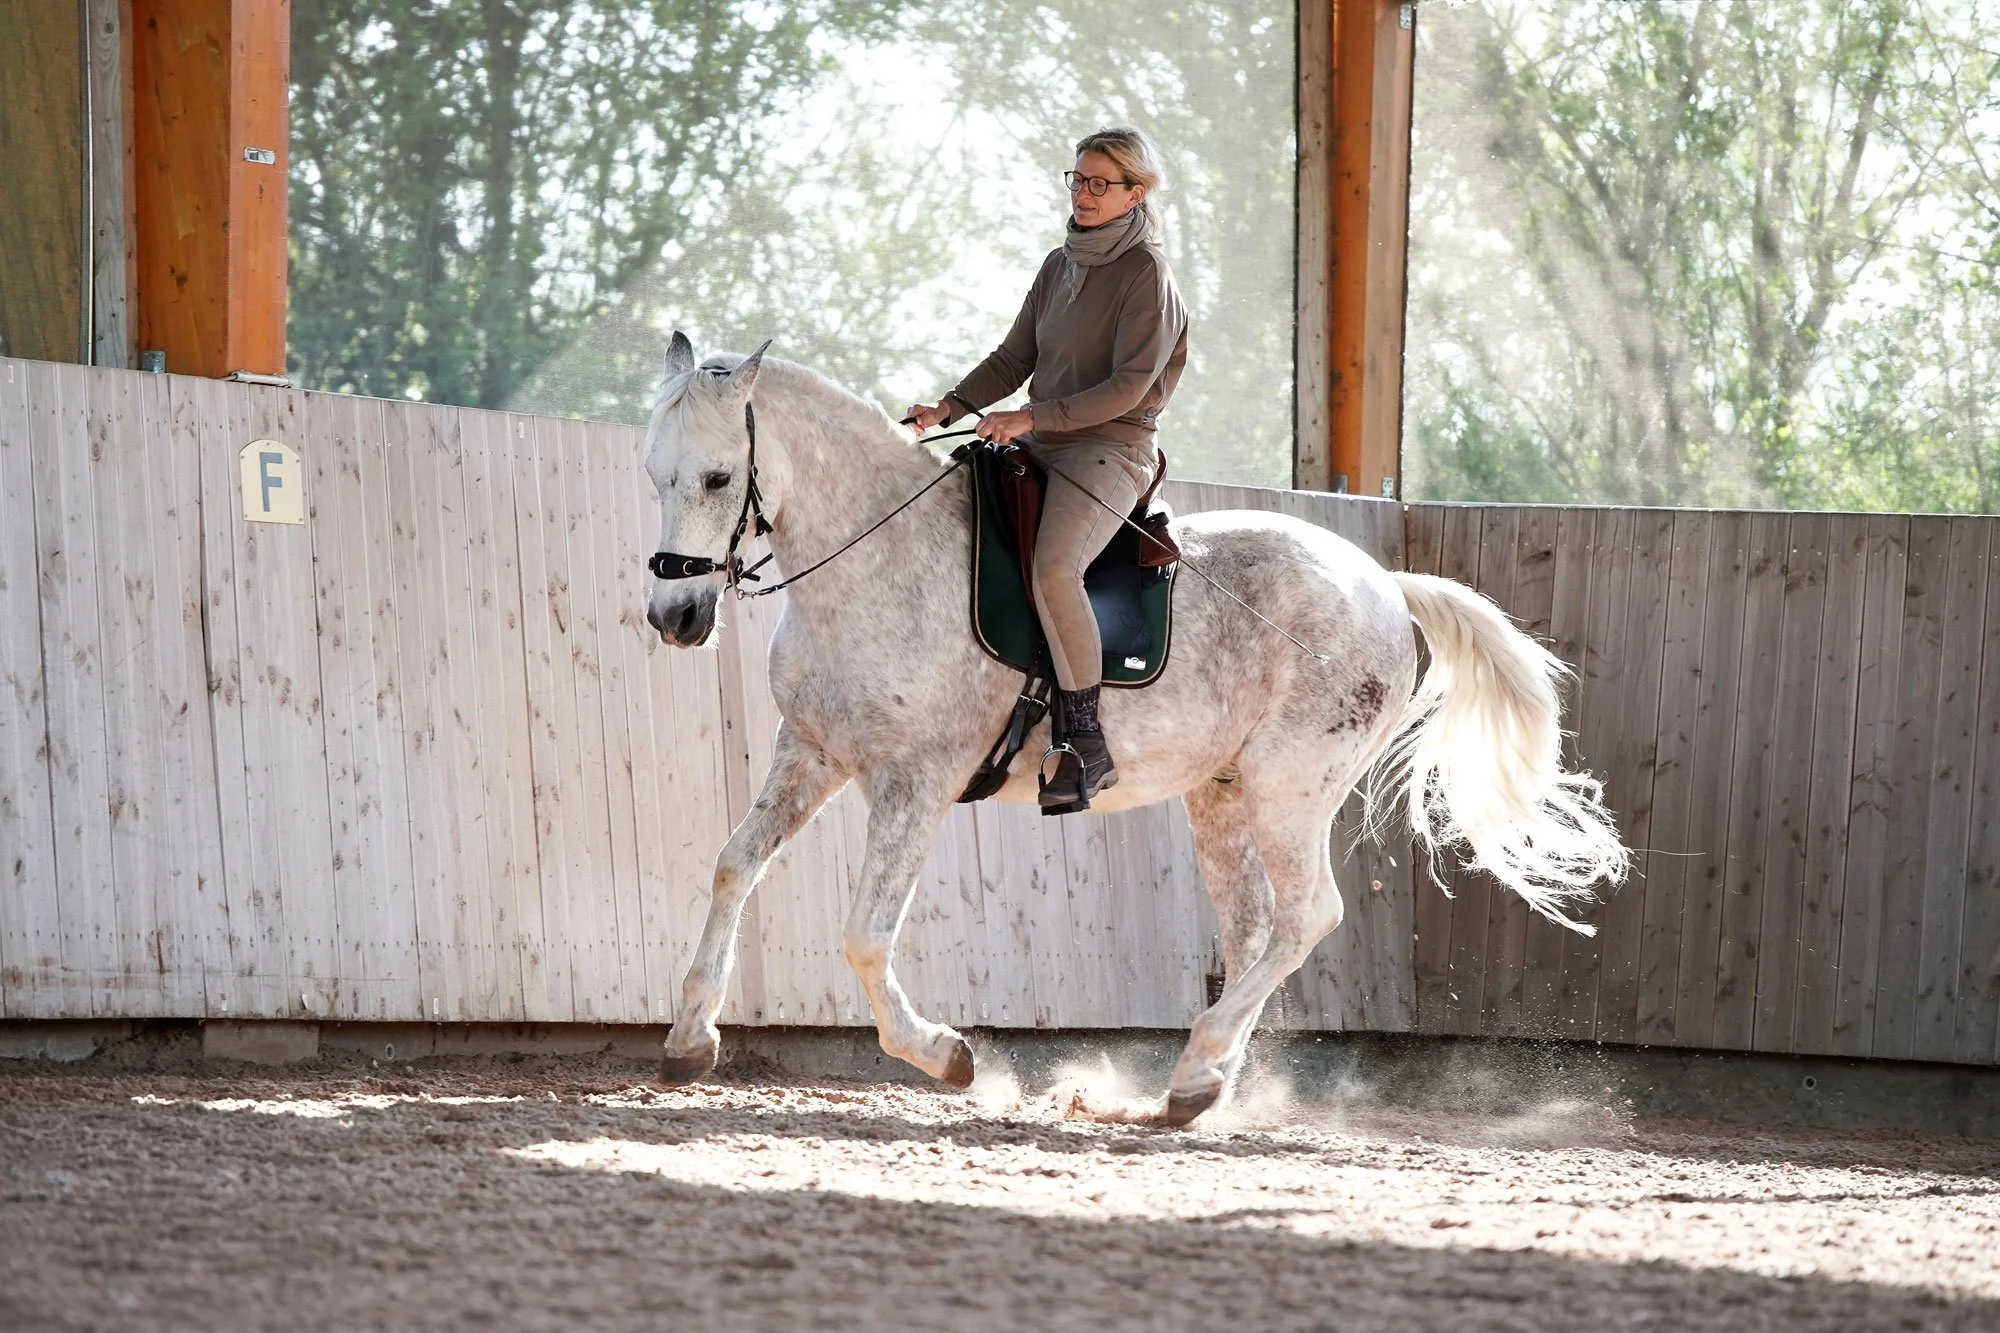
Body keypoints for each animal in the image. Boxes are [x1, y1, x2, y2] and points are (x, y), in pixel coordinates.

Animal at [641, 333, 1627, 1126]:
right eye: (655, 474)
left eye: (719, 478)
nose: (674, 617)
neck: (877, 563)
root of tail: (1383, 580)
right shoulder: (809, 752)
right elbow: (733, 864)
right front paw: (690, 1036)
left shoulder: (915, 779)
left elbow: (864, 935)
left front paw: (947, 1054)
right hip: (1222, 793)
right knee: (1254, 924)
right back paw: (1205, 1081)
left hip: (1291, 786)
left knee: (1308, 914)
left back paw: (1197, 1066)